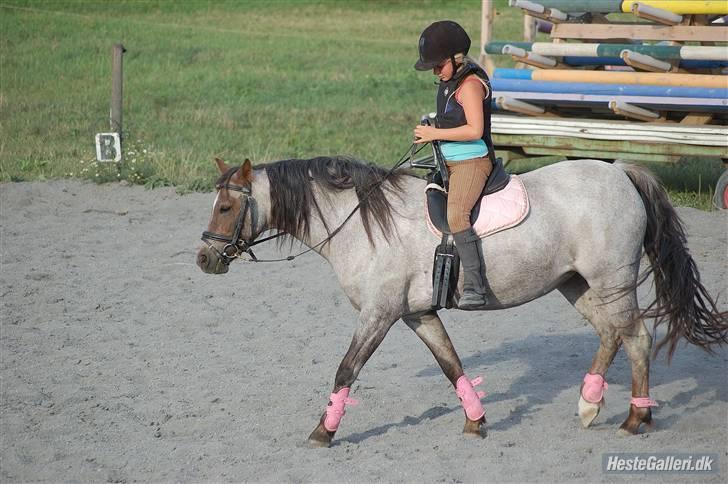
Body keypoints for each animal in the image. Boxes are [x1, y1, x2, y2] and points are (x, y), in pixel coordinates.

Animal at [196, 156, 727, 447]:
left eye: (225, 206)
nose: (204, 258)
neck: (360, 222)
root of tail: (619, 172)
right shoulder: (416, 314)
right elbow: (451, 363)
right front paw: (476, 422)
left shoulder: (379, 314)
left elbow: (346, 370)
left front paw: (323, 432)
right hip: (576, 283)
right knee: (613, 333)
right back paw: (594, 405)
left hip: (610, 280)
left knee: (634, 335)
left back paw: (631, 417)